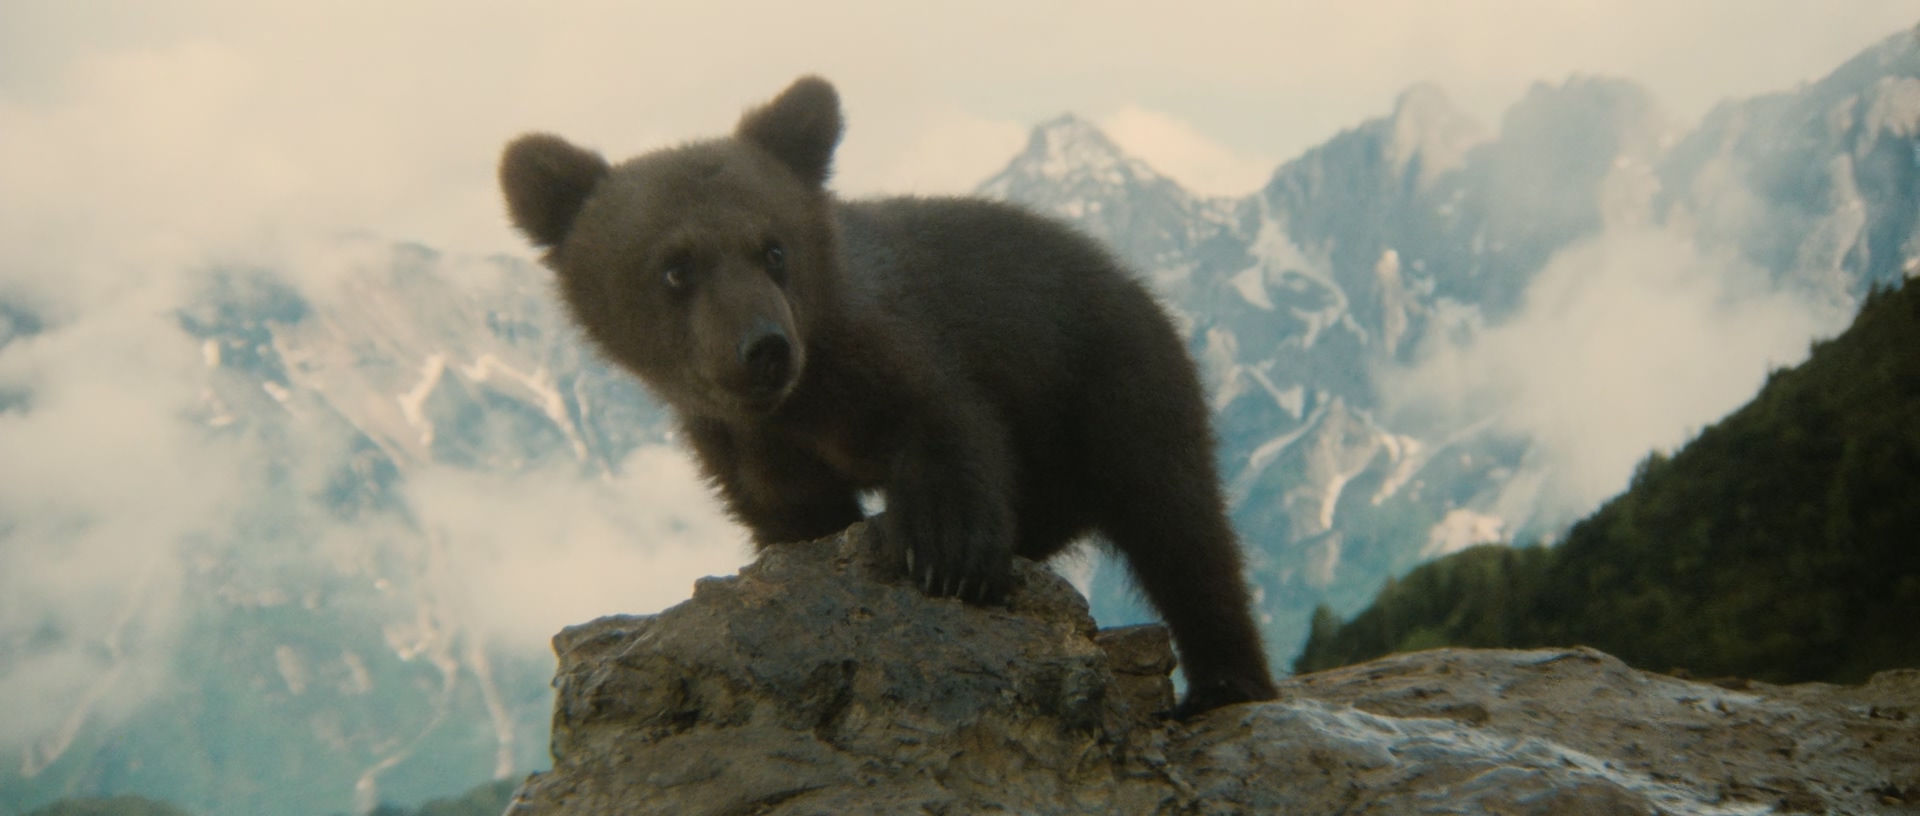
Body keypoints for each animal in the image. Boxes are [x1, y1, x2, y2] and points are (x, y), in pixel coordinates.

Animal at [499, 76, 1277, 716]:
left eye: (773, 249)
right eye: (674, 267)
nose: (764, 347)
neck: (802, 402)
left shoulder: (897, 350)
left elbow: (946, 427)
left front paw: (946, 554)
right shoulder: (744, 442)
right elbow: (790, 511)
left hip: (1115, 382)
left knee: (1179, 524)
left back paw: (1222, 682)